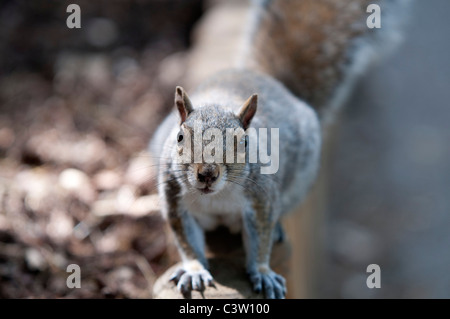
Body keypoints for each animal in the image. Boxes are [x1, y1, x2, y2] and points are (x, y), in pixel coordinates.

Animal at [150, 0, 408, 300]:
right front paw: (193, 270)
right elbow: (186, 241)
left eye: (244, 142)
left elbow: (260, 238)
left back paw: (277, 231)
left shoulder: (262, 199)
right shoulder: (175, 200)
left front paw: (263, 272)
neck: (217, 196)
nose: (207, 174)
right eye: (180, 137)